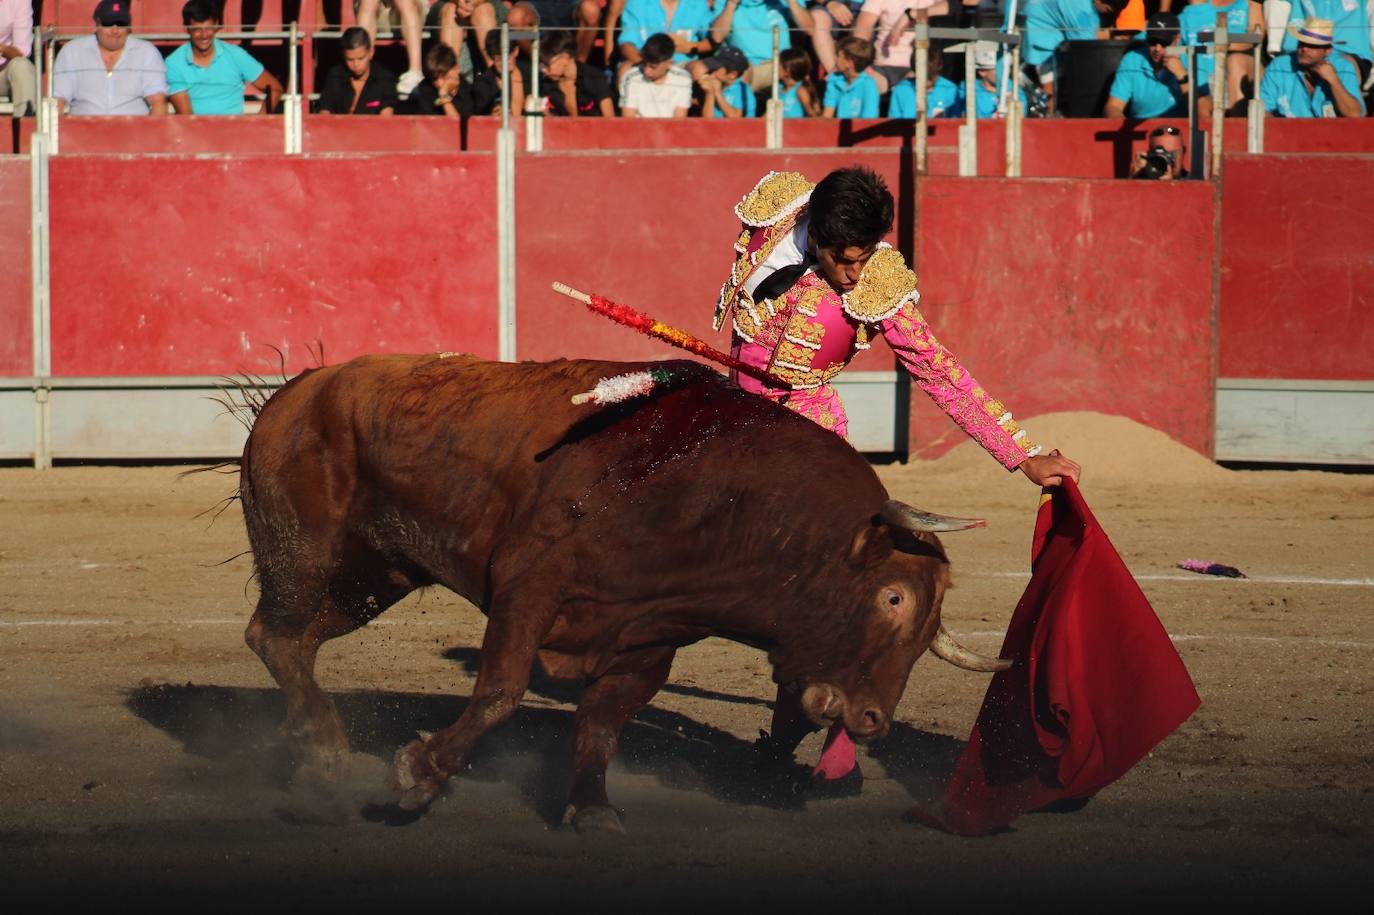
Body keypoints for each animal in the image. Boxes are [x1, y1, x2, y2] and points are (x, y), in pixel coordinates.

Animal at [239, 350, 1011, 824]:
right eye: (893, 598)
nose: (874, 720)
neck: (719, 499)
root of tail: (300, 387)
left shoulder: (649, 638)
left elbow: (601, 723)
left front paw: (592, 809)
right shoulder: (529, 588)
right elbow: (500, 692)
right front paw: (417, 775)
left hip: (376, 576)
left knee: (293, 642)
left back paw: (315, 752)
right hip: (305, 553)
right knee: (273, 634)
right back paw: (326, 755)